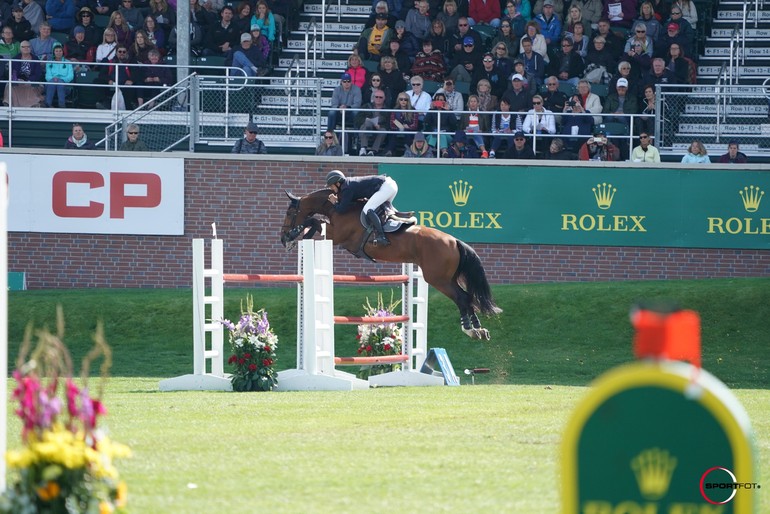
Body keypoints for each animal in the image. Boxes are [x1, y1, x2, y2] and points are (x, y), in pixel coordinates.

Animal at [280, 187, 500, 336]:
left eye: (289, 213)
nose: (282, 237)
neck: (338, 208)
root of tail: (454, 241)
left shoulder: (337, 236)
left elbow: (314, 221)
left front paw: (295, 236)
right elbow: (315, 222)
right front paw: (295, 239)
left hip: (438, 279)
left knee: (461, 297)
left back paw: (469, 329)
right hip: (447, 277)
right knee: (468, 297)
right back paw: (479, 328)